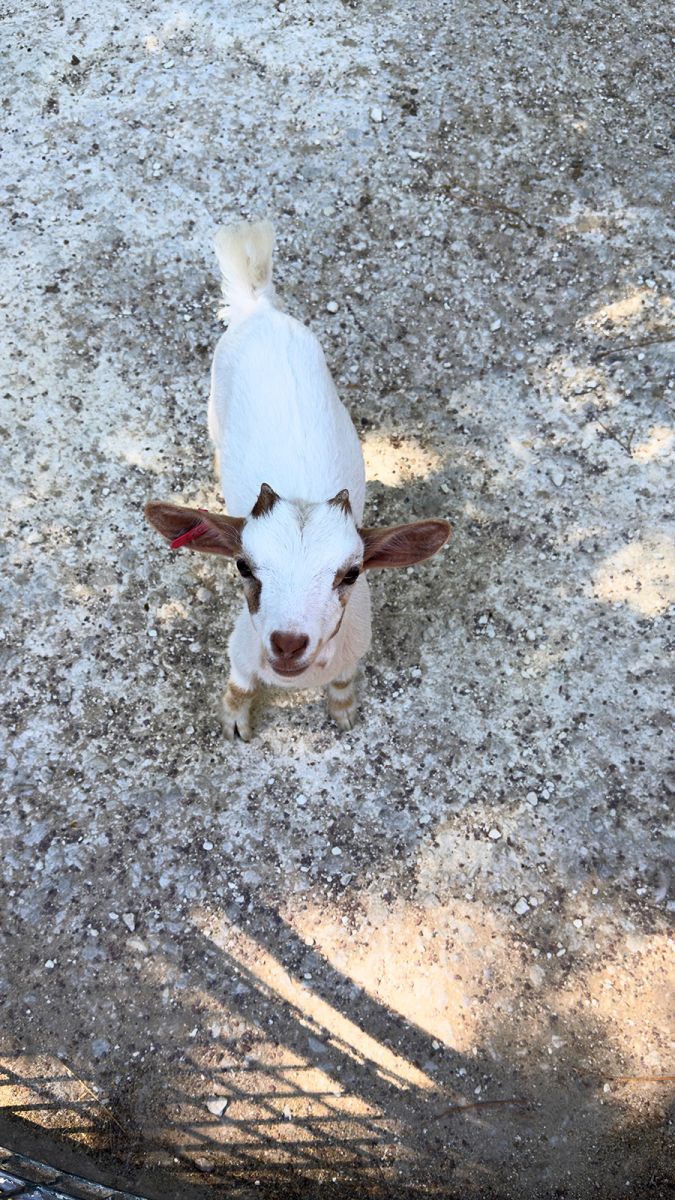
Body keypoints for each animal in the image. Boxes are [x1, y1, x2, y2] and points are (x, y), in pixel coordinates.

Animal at [145, 220, 450, 739]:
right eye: (243, 566)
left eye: (351, 573)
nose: (288, 643)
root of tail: (258, 309)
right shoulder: (241, 649)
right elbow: (240, 684)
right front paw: (235, 723)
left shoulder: (355, 648)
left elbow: (344, 683)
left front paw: (344, 713)